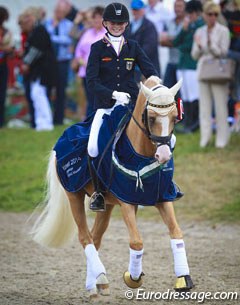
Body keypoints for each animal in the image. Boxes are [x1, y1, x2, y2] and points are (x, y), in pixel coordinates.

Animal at [30, 76, 193, 296]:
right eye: (151, 118)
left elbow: (176, 233)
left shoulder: (162, 197)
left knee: (95, 237)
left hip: (106, 204)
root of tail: (63, 137)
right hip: (74, 195)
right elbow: (136, 241)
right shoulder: (127, 201)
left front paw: (184, 279)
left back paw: (97, 283)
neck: (141, 154)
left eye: (176, 117)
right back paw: (99, 278)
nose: (164, 156)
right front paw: (133, 278)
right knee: (85, 237)